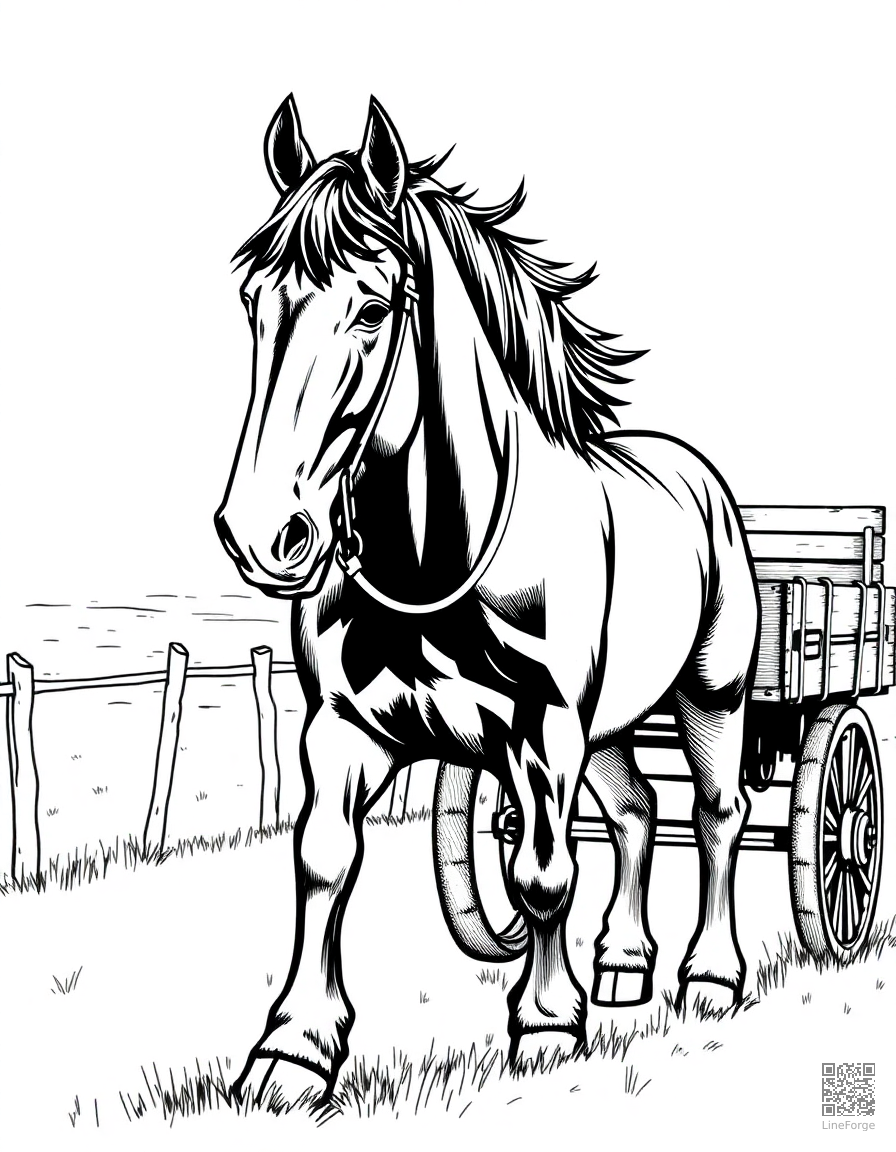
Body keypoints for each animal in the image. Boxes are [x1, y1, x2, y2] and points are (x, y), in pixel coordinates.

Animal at [215, 94, 760, 1105]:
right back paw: (624, 965)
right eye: (254, 301)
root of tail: (698, 474)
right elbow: (323, 861)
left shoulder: (543, 733)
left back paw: (709, 976)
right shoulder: (340, 727)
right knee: (636, 812)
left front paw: (544, 1025)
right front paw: (294, 1049)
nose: (262, 532)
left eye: (373, 307)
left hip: (712, 696)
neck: (433, 558)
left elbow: (541, 873)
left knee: (716, 815)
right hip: (613, 725)